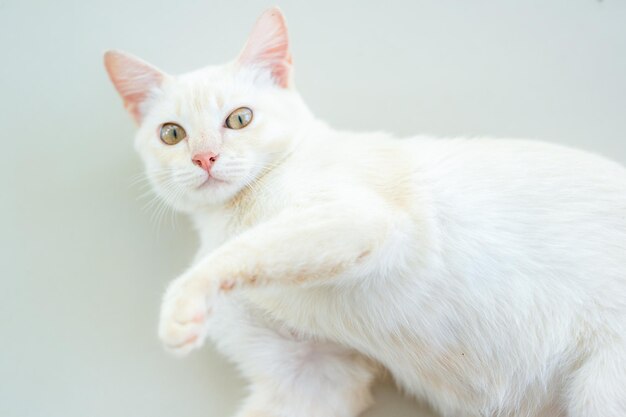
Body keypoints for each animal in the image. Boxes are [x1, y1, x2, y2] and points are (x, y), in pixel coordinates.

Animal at [105, 7, 624, 416]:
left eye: (240, 118)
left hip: (601, 389)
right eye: (172, 134)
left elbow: (242, 250)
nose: (205, 158)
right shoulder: (314, 374)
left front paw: (181, 305)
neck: (227, 218)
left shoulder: (357, 218)